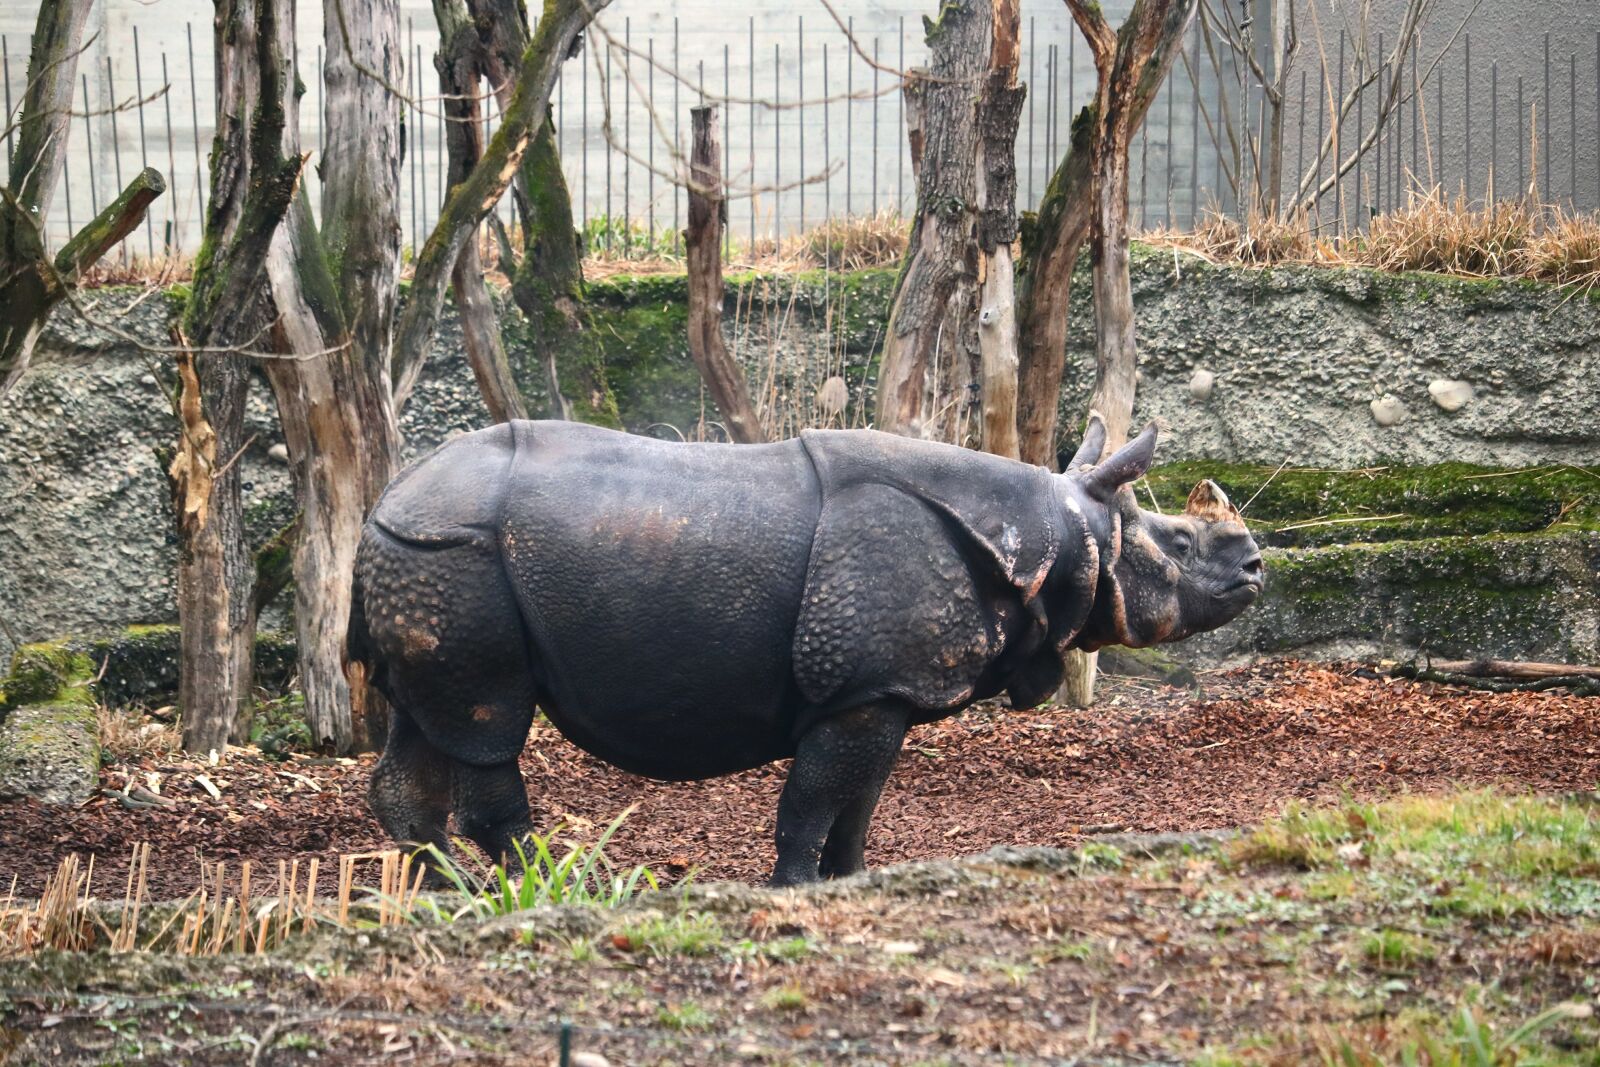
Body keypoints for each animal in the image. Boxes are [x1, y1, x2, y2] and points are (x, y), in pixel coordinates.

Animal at [348, 415, 1262, 885]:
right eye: (1181, 545)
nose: (1256, 568)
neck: (1062, 532)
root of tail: (384, 501)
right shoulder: (860, 689)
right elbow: (813, 800)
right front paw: (791, 887)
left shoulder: (884, 693)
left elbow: (862, 799)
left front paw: (850, 880)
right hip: (455, 557)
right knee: (488, 723)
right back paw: (552, 886)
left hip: (424, 557)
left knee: (424, 726)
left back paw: (445, 891)